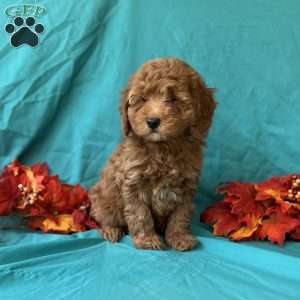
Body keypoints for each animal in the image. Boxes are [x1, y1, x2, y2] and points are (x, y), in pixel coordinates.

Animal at [89, 57, 216, 250]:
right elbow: (140, 213)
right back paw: (111, 230)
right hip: (104, 199)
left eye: (173, 99)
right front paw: (148, 240)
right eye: (142, 99)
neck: (163, 148)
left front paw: (179, 237)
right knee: (105, 216)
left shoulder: (187, 185)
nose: (152, 121)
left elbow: (181, 215)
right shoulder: (133, 183)